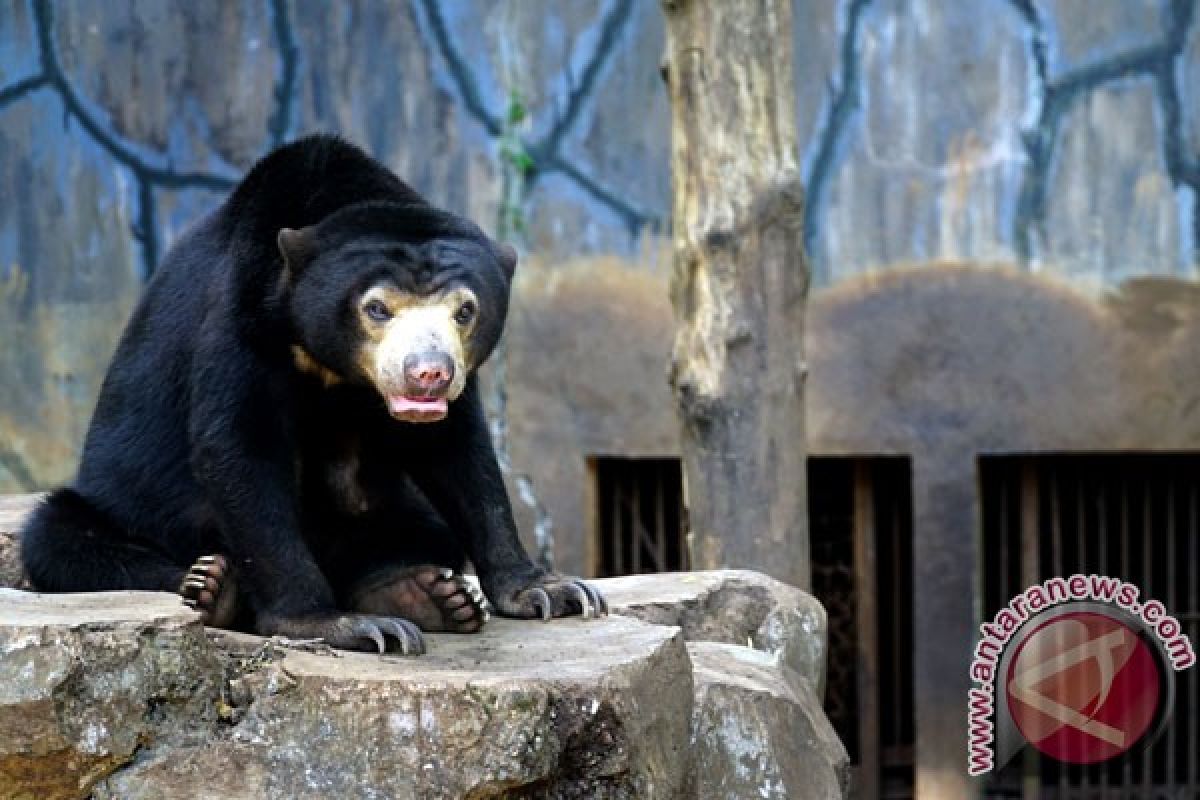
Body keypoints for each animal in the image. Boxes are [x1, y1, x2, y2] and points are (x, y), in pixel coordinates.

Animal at [15, 134, 604, 652]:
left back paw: (425, 594)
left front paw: (553, 591)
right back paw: (212, 586)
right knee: (60, 537)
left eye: (465, 310)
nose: (428, 374)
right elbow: (239, 448)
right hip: (128, 505)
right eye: (376, 307)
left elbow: (461, 454)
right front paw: (337, 624)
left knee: (424, 532)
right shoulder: (241, 320)